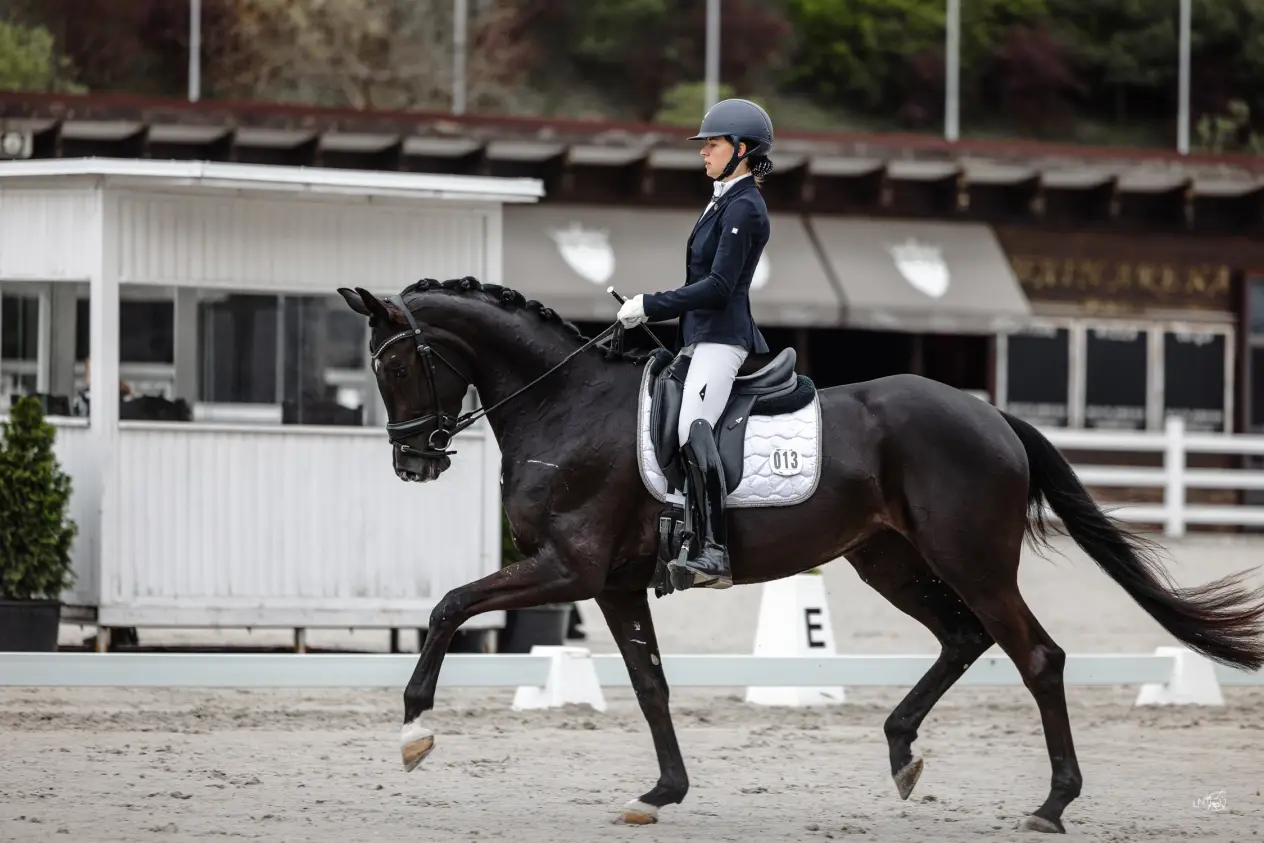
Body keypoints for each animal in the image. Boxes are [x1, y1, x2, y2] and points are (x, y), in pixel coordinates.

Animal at [336, 276, 1264, 834]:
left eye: (396, 364)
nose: (413, 460)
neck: (566, 405)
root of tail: (991, 414)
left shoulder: (569, 569)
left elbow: (450, 603)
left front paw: (416, 727)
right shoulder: (614, 585)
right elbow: (649, 684)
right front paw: (662, 791)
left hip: (970, 558)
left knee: (1035, 654)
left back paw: (1051, 801)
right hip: (887, 560)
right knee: (963, 638)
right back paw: (902, 750)